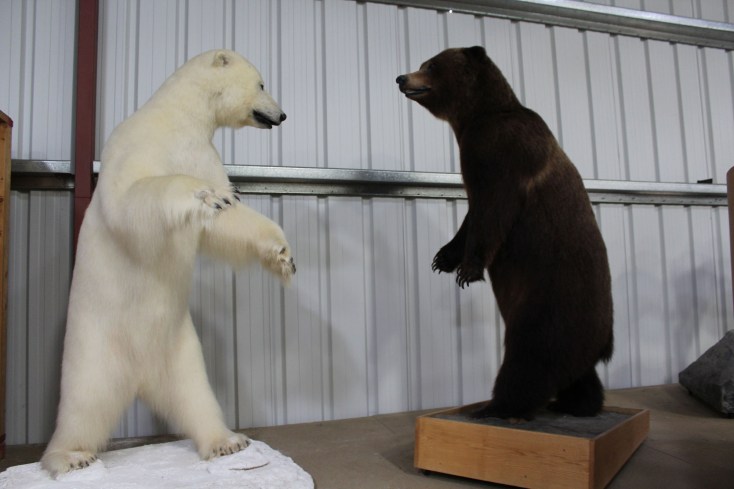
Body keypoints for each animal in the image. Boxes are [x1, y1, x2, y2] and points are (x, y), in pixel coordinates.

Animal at [41, 49, 296, 477]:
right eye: (262, 83)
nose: (282, 115)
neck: (180, 117)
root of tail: (140, 378)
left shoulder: (203, 153)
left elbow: (224, 223)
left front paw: (282, 255)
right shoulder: (136, 143)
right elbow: (132, 198)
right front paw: (205, 196)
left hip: (181, 347)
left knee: (196, 394)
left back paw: (227, 440)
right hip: (94, 346)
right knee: (84, 401)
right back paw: (70, 456)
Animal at [396, 46, 613, 420]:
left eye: (432, 65)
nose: (401, 77)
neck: (475, 117)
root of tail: (605, 340)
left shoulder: (503, 152)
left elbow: (493, 210)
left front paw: (468, 269)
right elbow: (471, 215)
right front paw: (443, 258)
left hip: (549, 302)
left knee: (530, 358)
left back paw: (493, 407)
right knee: (576, 371)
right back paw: (576, 403)